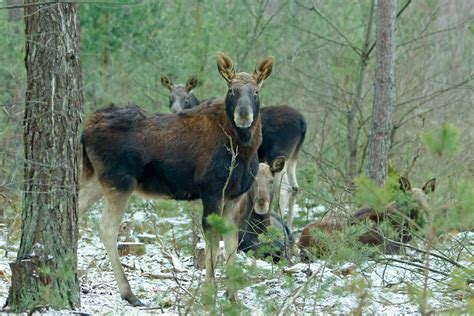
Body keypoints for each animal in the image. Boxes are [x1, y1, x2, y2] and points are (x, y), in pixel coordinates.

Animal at [79, 53, 274, 304]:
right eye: (231, 90)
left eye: (256, 91)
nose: (243, 114)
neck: (244, 147)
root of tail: (85, 131)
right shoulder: (211, 191)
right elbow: (212, 241)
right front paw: (209, 293)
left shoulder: (234, 196)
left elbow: (231, 241)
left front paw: (233, 296)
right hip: (119, 181)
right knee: (106, 229)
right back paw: (128, 292)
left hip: (95, 178)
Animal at [161, 76, 306, 232]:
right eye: (170, 97)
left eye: (186, 98)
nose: (174, 111)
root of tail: (303, 122)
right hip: (293, 157)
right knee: (295, 187)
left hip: (279, 154)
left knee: (285, 188)